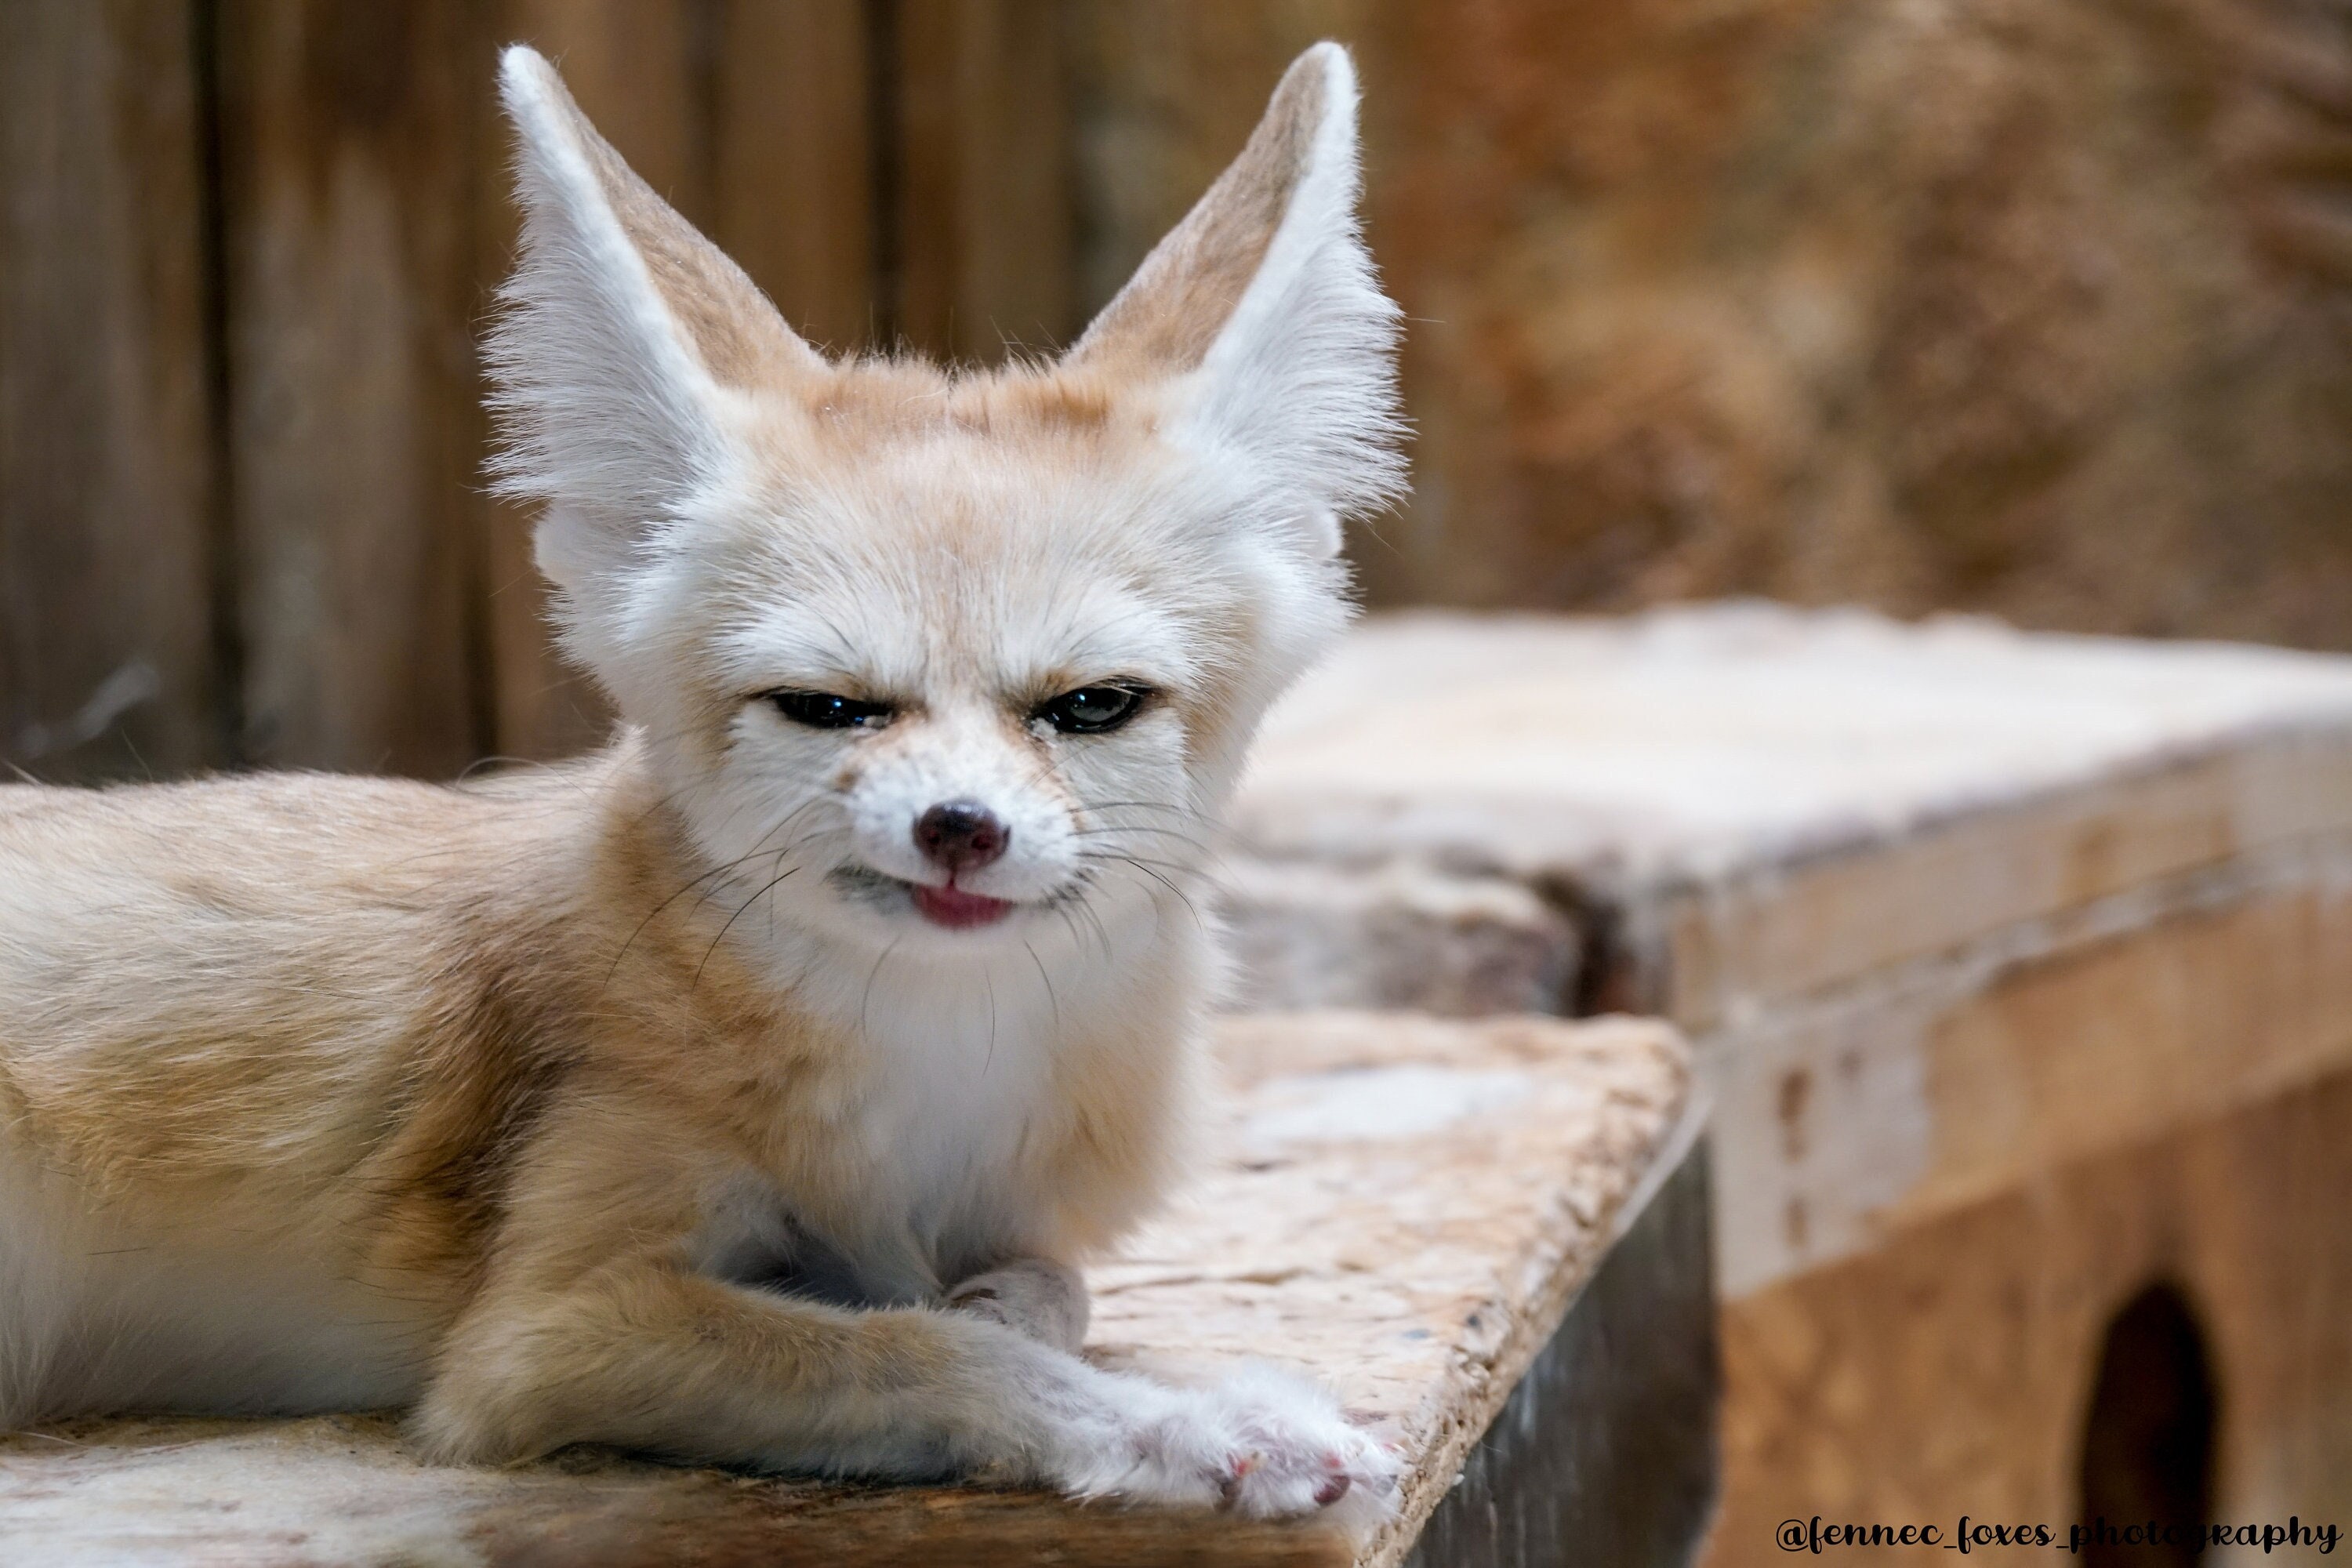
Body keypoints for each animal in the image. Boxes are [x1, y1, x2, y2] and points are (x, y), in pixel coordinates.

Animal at [0, 41, 1406, 1520]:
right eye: (828, 707)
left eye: (1090, 706)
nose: (958, 828)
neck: (942, 1061)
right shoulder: (545, 1329)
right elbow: (916, 1350)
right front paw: (1201, 1424)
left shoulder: (1001, 1220)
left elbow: (1033, 1291)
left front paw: (1012, 1313)